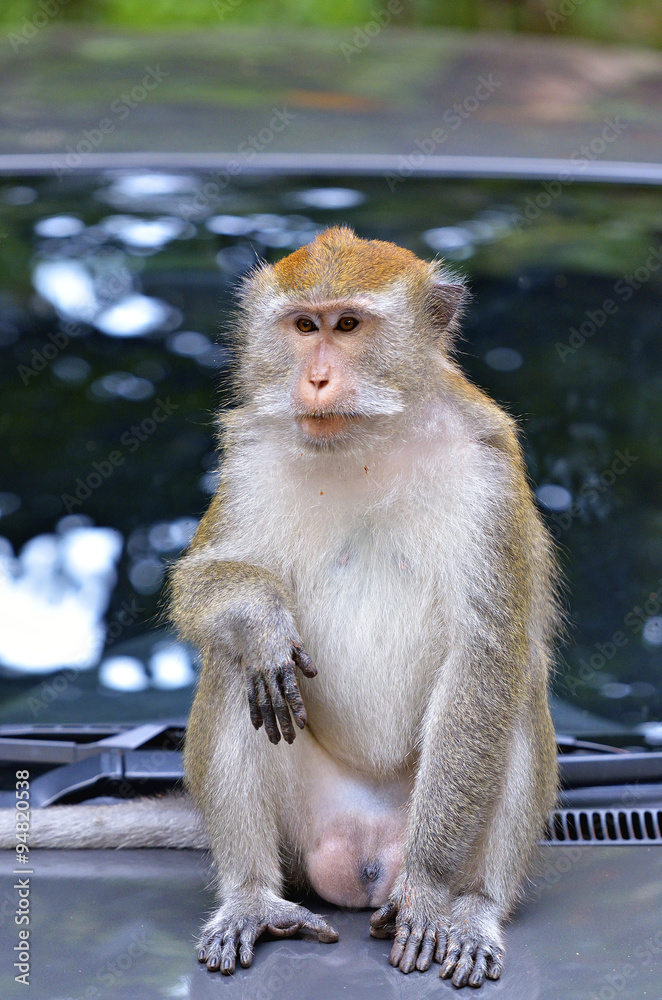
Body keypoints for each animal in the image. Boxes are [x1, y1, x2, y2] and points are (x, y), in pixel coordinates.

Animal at [168, 226, 560, 988]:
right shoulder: (250, 452)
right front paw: (260, 619)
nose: (316, 379)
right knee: (234, 667)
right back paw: (251, 896)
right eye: (304, 327)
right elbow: (201, 582)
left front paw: (431, 894)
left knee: (514, 685)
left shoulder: (490, 467)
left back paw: (469, 907)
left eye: (347, 326)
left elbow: (485, 652)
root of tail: (368, 847)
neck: (370, 439)